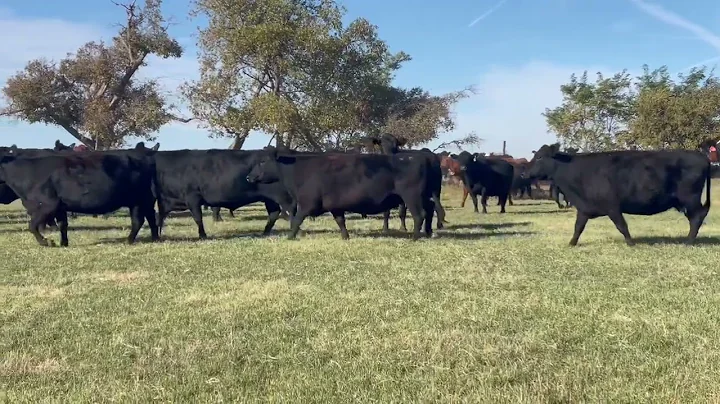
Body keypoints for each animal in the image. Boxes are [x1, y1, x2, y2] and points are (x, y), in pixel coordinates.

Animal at [0, 145, 160, 247]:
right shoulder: (60, 207)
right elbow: (63, 224)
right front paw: (63, 243)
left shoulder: (48, 205)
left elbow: (32, 225)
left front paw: (47, 242)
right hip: (144, 200)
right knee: (150, 217)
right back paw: (155, 238)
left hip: (138, 199)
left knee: (138, 220)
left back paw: (129, 240)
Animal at [132, 147, 295, 239]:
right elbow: (159, 217)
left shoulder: (192, 198)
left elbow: (198, 218)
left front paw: (202, 235)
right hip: (270, 199)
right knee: (274, 213)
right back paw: (265, 232)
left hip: (283, 197)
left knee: (289, 210)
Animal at [245, 146, 435, 240]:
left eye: (262, 161)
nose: (248, 177)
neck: (299, 169)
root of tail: (418, 156)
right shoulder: (335, 206)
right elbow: (340, 221)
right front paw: (345, 237)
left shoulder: (307, 203)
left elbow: (297, 220)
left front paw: (290, 236)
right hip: (425, 196)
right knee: (429, 211)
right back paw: (428, 232)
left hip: (411, 196)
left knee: (419, 215)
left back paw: (415, 237)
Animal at [526, 143, 711, 246]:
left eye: (540, 157)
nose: (525, 173)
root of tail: (702, 156)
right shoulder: (584, 208)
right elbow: (578, 227)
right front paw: (571, 243)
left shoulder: (612, 207)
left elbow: (622, 226)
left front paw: (631, 243)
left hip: (690, 198)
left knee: (697, 217)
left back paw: (688, 242)